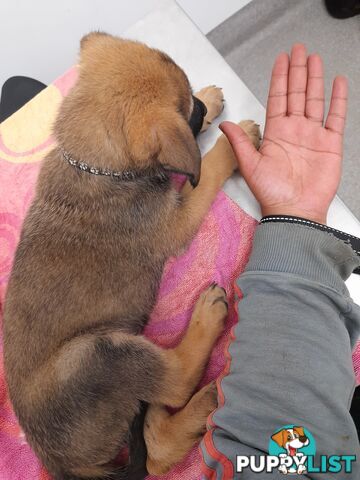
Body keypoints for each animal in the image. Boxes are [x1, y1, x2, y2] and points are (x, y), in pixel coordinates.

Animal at [3, 31, 262, 478]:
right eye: (184, 109)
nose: (200, 106)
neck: (94, 167)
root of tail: (62, 464)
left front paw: (211, 100)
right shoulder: (177, 219)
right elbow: (208, 167)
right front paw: (231, 142)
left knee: (155, 437)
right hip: (99, 355)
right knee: (172, 393)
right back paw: (207, 337)